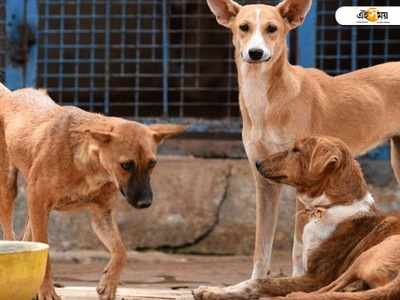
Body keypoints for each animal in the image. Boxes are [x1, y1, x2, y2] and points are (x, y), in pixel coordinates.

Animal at [0, 82, 184, 300]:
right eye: (126, 165)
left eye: (152, 163)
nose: (145, 203)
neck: (89, 165)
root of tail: (10, 95)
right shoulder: (38, 201)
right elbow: (46, 255)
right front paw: (46, 291)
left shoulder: (101, 214)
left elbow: (121, 251)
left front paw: (109, 284)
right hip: (8, 189)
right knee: (11, 236)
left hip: (36, 209)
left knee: (29, 239)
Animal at [195, 137, 400, 300]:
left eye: (296, 150)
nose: (257, 162)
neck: (331, 206)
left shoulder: (317, 277)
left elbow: (261, 281)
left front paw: (213, 291)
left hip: (365, 256)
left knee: (327, 291)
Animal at [206, 0, 400, 282]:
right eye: (244, 27)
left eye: (272, 28)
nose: (255, 53)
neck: (266, 101)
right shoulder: (263, 180)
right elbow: (261, 246)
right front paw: (255, 281)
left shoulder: (304, 182)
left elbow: (298, 246)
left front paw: (297, 277)